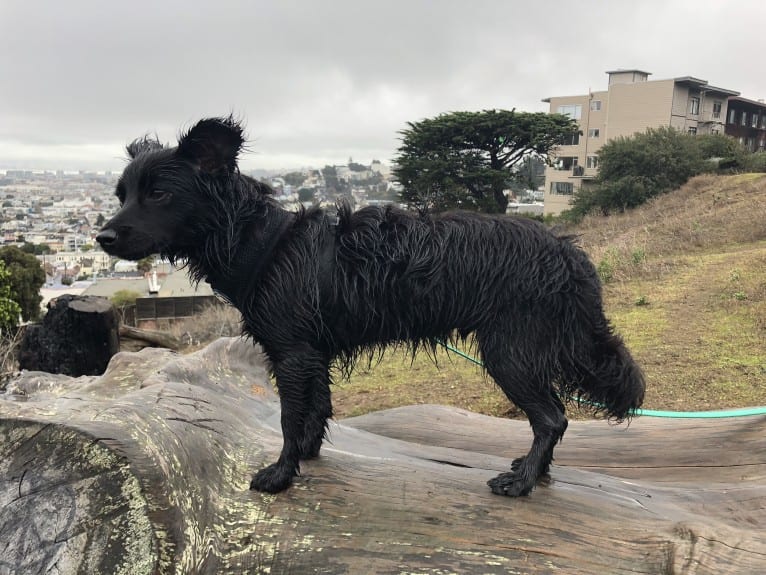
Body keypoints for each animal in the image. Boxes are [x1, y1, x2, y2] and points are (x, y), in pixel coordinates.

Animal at [96, 118, 648, 500]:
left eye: (159, 194)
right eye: (121, 194)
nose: (102, 237)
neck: (262, 242)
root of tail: (571, 254)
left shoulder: (292, 352)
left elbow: (288, 418)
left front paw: (281, 474)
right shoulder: (312, 352)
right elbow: (316, 409)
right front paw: (309, 455)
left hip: (509, 350)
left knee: (553, 418)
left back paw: (523, 482)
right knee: (552, 417)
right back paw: (532, 471)